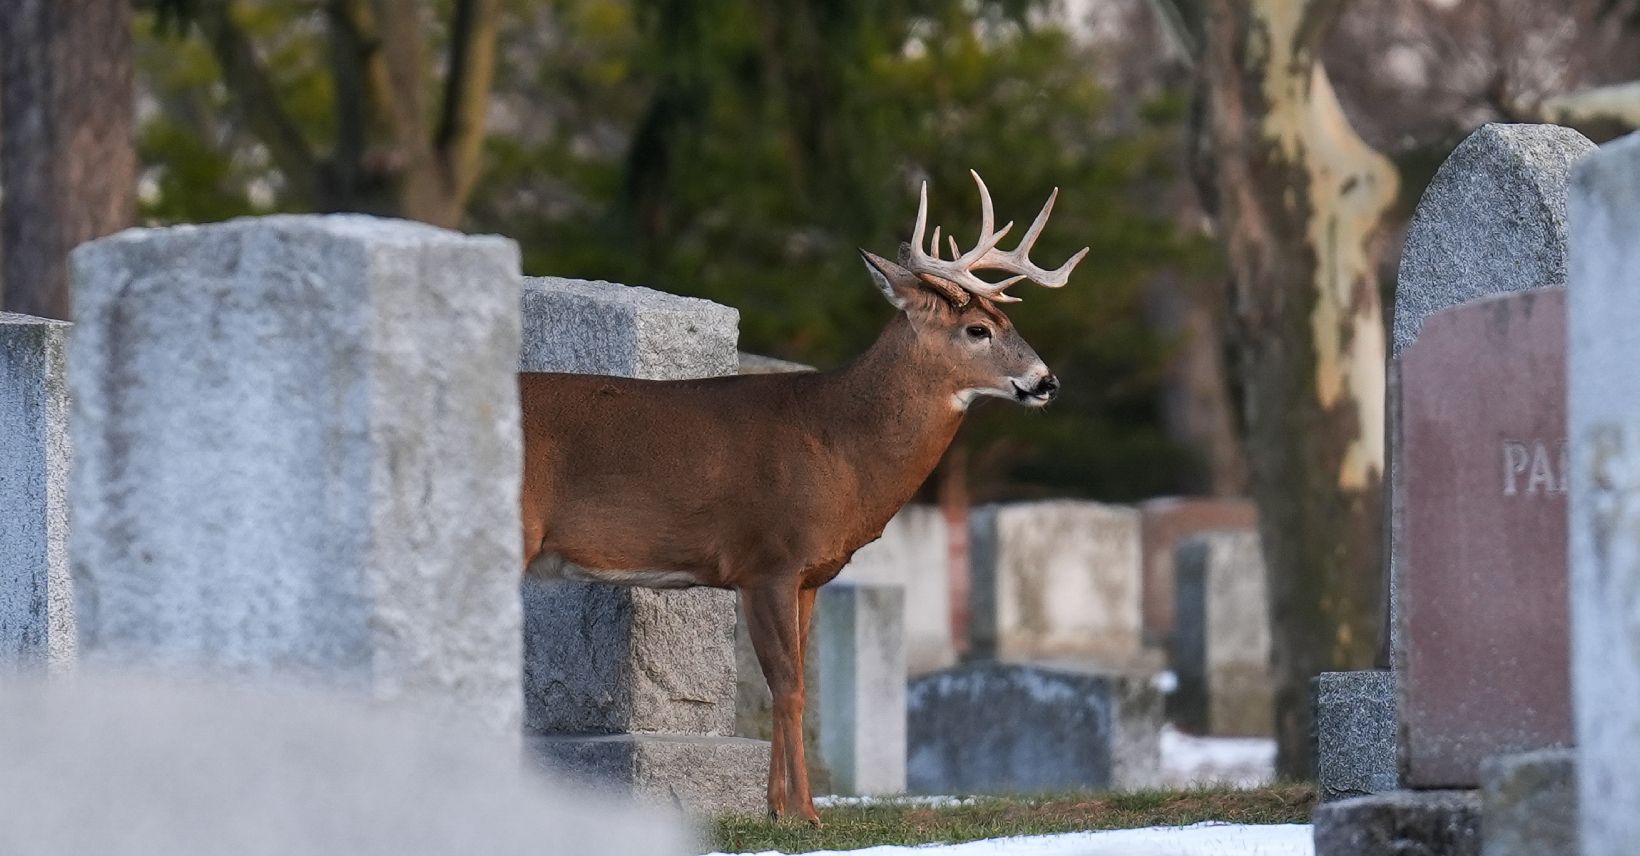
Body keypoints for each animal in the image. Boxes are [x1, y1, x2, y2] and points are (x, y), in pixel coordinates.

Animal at [519, 171, 1086, 824]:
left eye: (1004, 319)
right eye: (978, 329)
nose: (1047, 382)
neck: (839, 446)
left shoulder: (810, 574)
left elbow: (792, 686)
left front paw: (775, 809)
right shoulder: (769, 559)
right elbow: (788, 686)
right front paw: (807, 813)